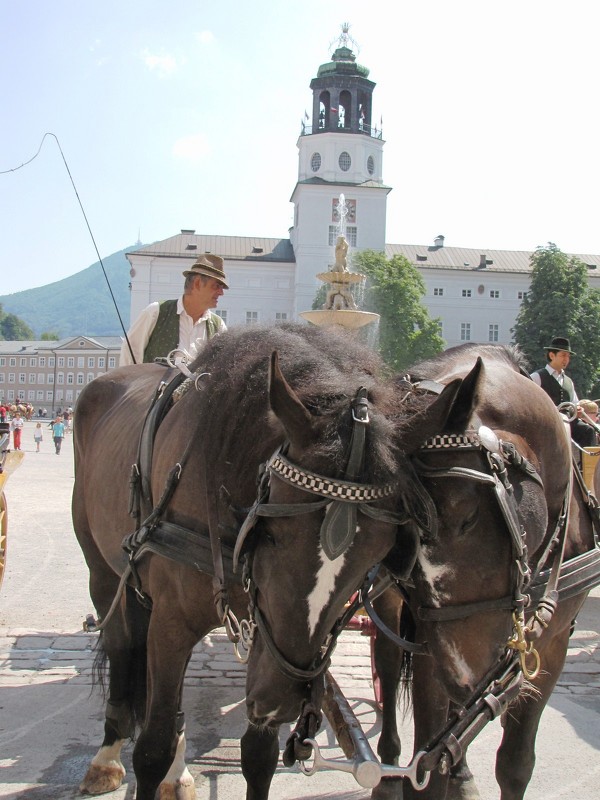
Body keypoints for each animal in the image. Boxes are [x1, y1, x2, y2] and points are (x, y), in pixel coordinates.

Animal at [72, 324, 458, 800]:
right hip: (103, 572)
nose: (282, 700)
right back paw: (107, 755)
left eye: (381, 552)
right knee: (121, 643)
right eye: (270, 533)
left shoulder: (265, 639)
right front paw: (150, 756)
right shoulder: (173, 622)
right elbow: (152, 747)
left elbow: (259, 756)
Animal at [372, 344, 596, 800]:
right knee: (387, 664)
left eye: (467, 515)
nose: (465, 678)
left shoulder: (551, 648)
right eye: (395, 542)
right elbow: (430, 762)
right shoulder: (433, 653)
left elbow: (514, 764)